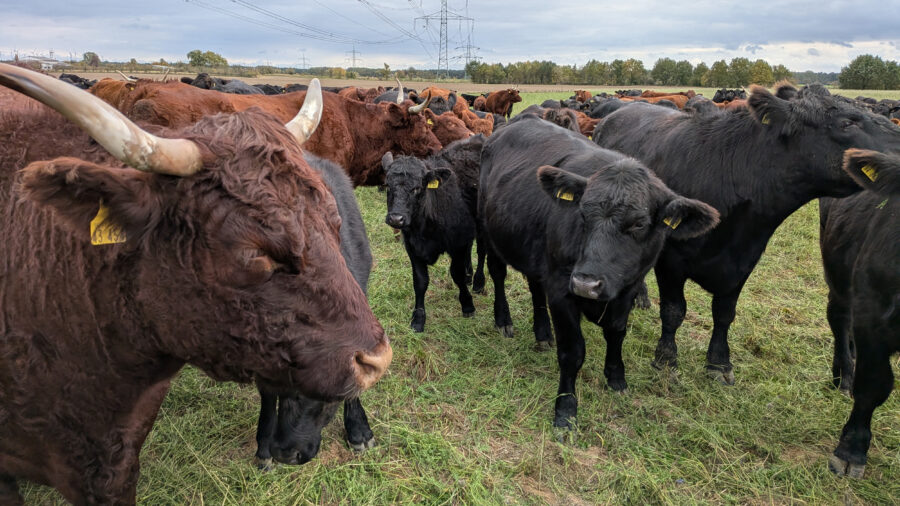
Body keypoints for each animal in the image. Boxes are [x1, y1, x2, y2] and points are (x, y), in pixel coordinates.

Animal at [382, 134, 488, 332]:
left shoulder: (457, 244)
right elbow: (420, 282)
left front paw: (467, 305)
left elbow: (456, 274)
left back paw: (478, 282)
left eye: (417, 188)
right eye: (387, 186)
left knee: (481, 250)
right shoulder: (412, 248)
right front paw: (418, 319)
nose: (396, 219)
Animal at [479, 116, 718, 428]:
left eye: (639, 224)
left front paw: (616, 378)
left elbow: (616, 333)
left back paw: (543, 333)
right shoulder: (561, 289)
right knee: (497, 274)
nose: (586, 283)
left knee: (535, 287)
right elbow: (572, 352)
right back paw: (503, 320)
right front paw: (565, 410)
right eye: (582, 213)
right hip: (489, 233)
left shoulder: (628, 289)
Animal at [593, 83, 900, 386]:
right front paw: (666, 361)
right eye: (847, 122)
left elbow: (724, 313)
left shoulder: (744, 260)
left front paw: (719, 364)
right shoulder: (672, 260)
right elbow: (673, 311)